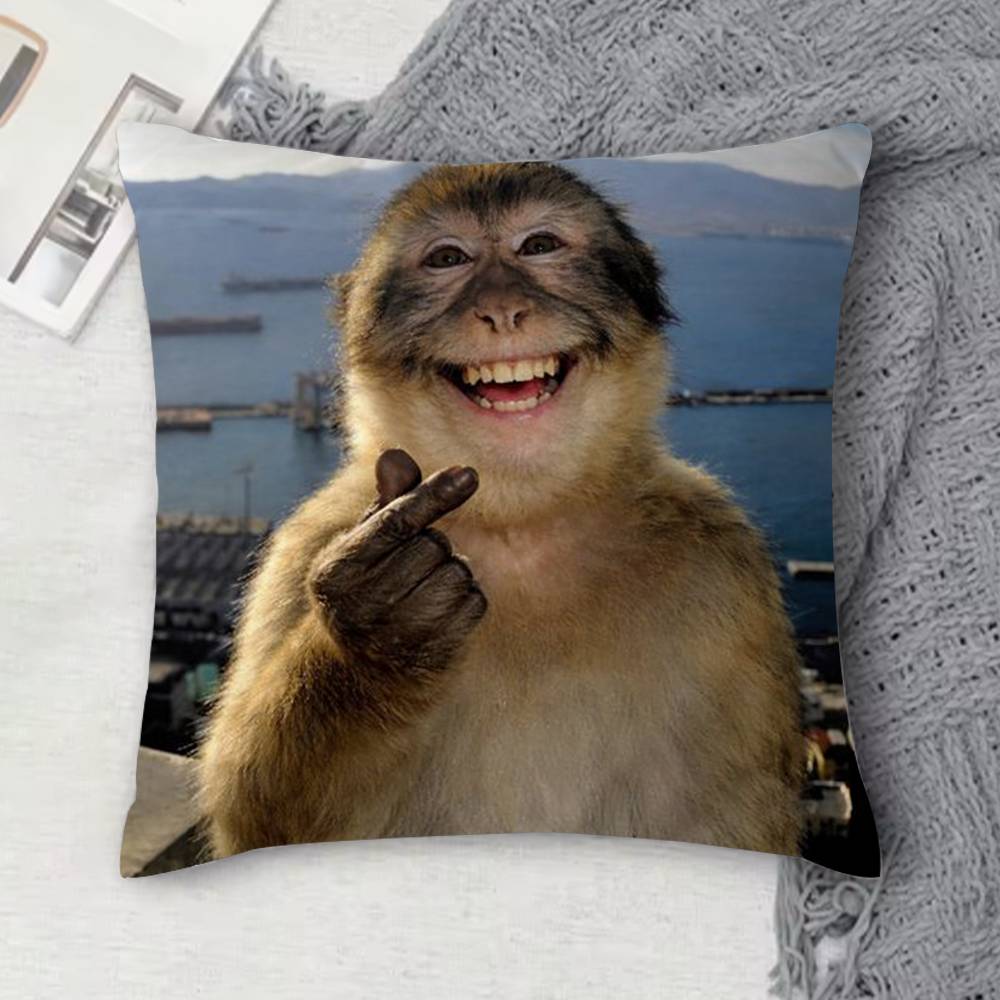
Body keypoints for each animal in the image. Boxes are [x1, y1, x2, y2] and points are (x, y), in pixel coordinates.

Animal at [197, 162, 805, 860]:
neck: (521, 525)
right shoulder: (305, 544)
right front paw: (376, 636)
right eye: (447, 259)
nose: (503, 310)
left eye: (538, 246)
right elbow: (256, 818)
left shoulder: (725, 565)